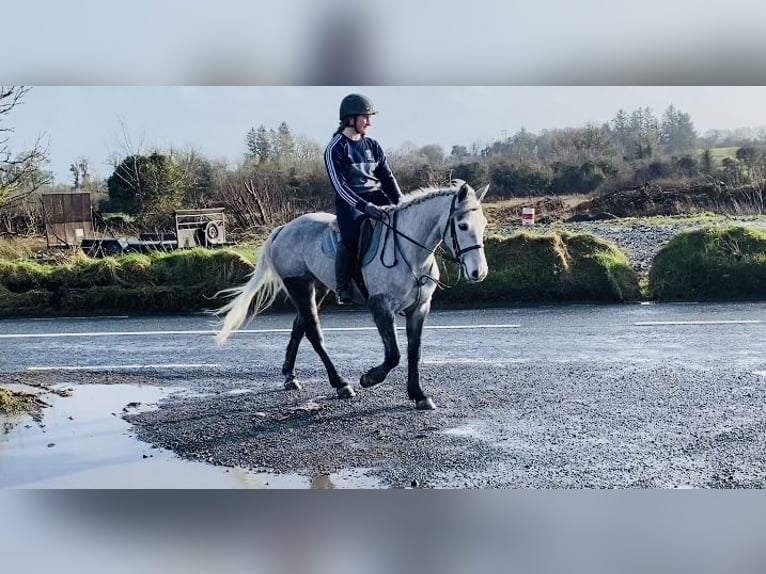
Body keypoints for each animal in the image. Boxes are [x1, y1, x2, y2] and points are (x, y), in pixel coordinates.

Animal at [214, 180, 492, 410]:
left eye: (484, 225)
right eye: (462, 225)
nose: (478, 272)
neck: (410, 253)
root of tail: (283, 229)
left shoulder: (420, 308)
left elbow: (414, 352)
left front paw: (418, 395)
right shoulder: (381, 306)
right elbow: (394, 355)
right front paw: (369, 378)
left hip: (319, 287)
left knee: (299, 326)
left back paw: (290, 376)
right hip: (299, 286)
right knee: (313, 332)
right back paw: (340, 383)